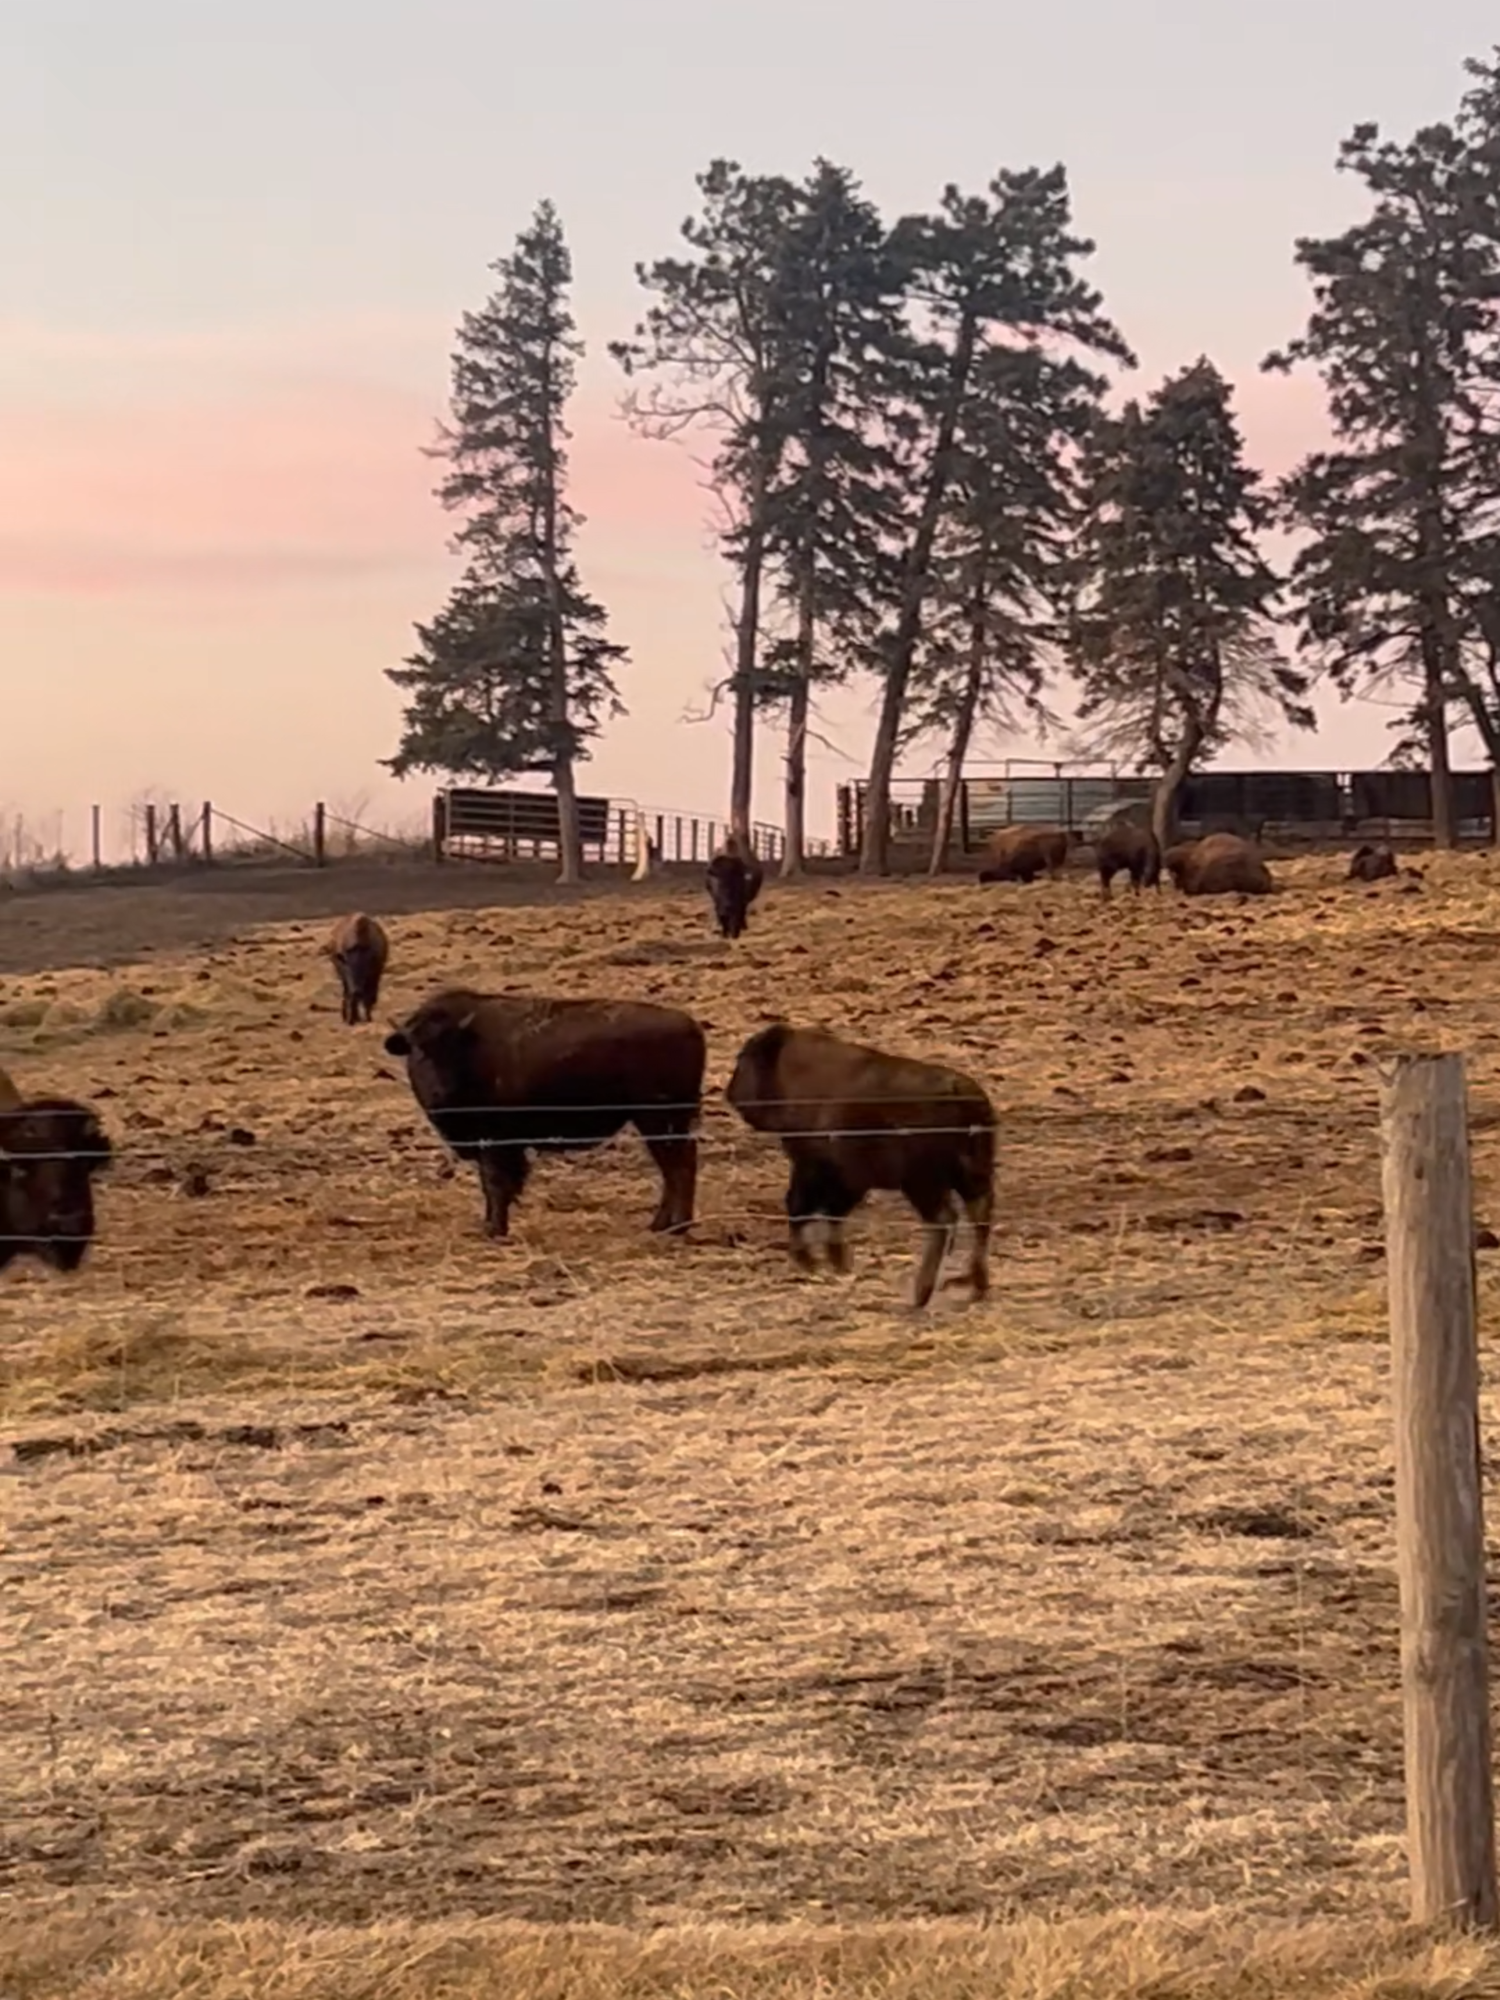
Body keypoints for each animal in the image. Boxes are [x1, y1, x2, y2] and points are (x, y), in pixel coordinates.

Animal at [383, 989, 705, 1239]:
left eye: (451, 1049)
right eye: (416, 1050)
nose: (441, 1091)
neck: (471, 1047)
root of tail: (690, 1025)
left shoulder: (496, 1142)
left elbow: (495, 1183)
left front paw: (494, 1230)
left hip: (656, 1119)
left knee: (677, 1166)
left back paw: (673, 1226)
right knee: (676, 1164)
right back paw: (663, 1225)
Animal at [724, 1021, 995, 1310]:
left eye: (743, 1059)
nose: (730, 1093)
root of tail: (961, 1093)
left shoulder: (813, 1167)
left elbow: (802, 1207)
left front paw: (809, 1260)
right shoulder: (850, 1181)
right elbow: (831, 1213)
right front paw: (838, 1263)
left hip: (922, 1184)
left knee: (944, 1221)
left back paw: (921, 1293)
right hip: (969, 1177)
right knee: (979, 1215)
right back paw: (976, 1287)